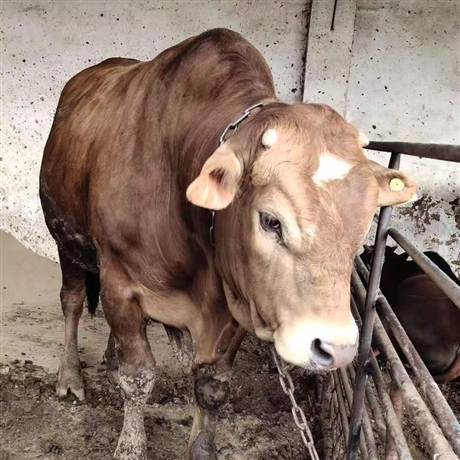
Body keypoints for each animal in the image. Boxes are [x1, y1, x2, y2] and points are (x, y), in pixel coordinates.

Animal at [39, 29, 416, 460]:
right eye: (270, 221)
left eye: (364, 224)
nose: (335, 348)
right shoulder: (119, 280)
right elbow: (138, 376)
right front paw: (130, 446)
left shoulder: (237, 300)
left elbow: (211, 385)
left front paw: (202, 441)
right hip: (65, 238)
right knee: (72, 301)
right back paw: (70, 376)